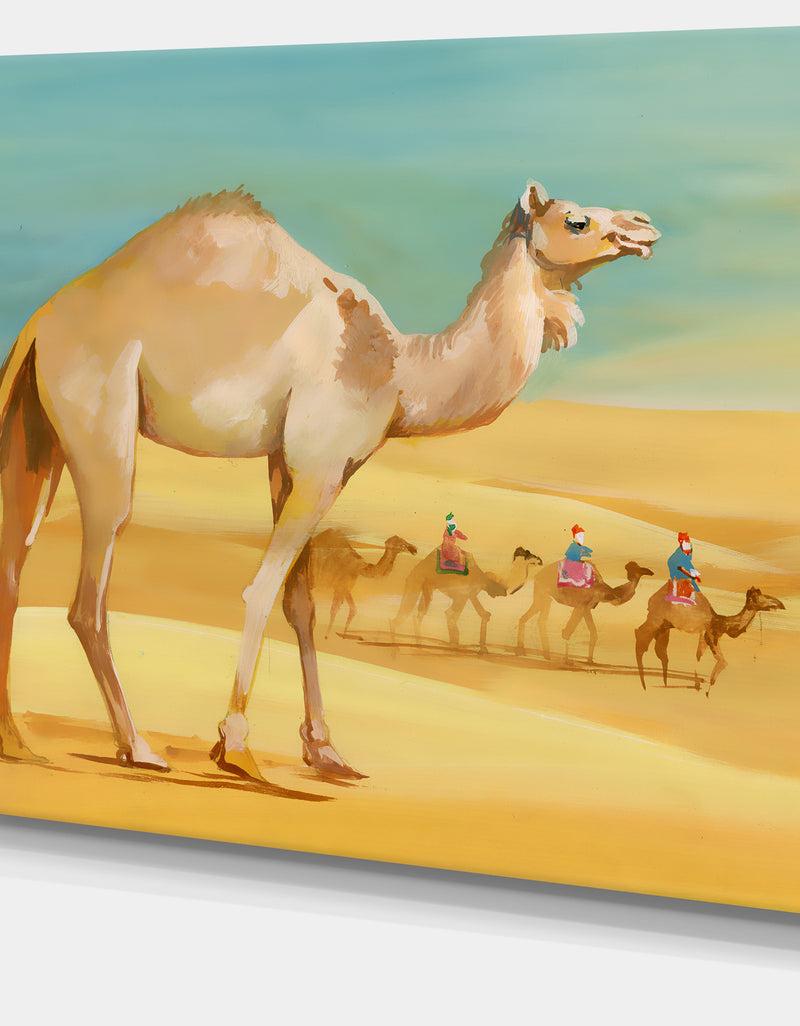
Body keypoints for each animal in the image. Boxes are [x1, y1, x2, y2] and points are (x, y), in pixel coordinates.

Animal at [391, 547, 542, 652]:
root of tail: (416, 568)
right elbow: (453, 615)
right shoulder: (463, 594)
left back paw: (416, 645)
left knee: (417, 614)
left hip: (425, 586)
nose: (540, 560)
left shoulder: (468, 595)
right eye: (529, 554)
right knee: (411, 612)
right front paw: (458, 647)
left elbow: (482, 614)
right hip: (417, 581)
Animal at [516, 560, 655, 664]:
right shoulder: (581, 606)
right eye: (637, 569)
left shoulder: (587, 608)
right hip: (542, 594)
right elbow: (567, 632)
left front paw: (590, 660)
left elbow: (593, 633)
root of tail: (536, 575)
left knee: (538, 620)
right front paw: (567, 660)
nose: (651, 572)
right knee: (532, 619)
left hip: (546, 598)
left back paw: (543, 654)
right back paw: (523, 651)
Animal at [635, 584, 785, 695]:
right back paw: (645, 685)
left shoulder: (705, 637)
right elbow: (723, 662)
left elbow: (699, 656)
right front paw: (706, 690)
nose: (780, 604)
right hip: (657, 619)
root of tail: (653, 597)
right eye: (762, 597)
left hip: (664, 625)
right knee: (641, 636)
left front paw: (699, 683)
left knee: (658, 648)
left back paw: (661, 683)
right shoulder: (711, 635)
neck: (722, 623)